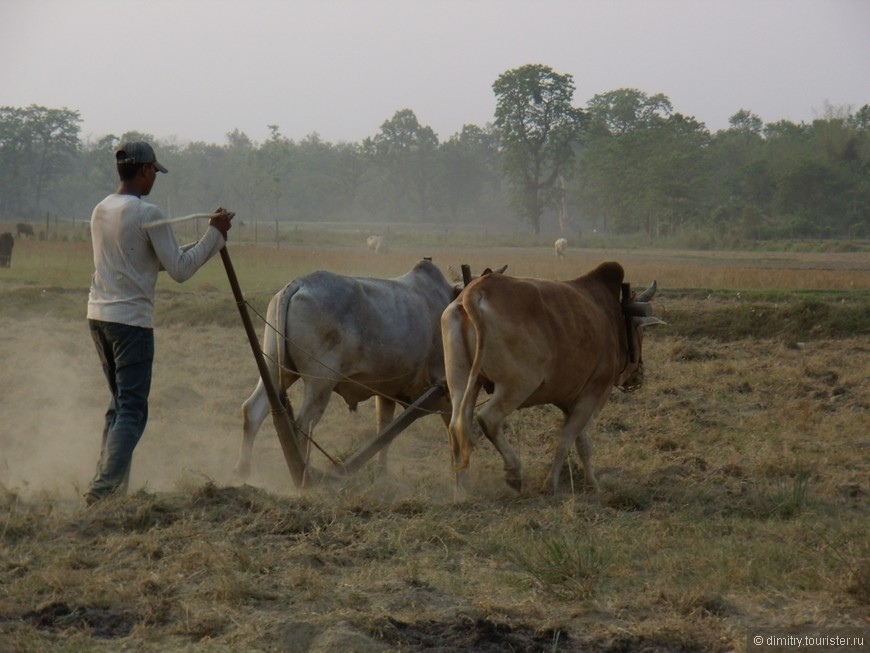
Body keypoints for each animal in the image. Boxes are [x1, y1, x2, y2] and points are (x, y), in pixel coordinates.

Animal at [238, 258, 456, 476]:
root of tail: (300, 283)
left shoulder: (387, 392)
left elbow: (385, 432)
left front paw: (382, 472)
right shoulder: (444, 389)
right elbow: (454, 431)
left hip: (274, 367)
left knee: (253, 411)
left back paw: (244, 471)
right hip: (320, 384)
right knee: (303, 426)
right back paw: (303, 474)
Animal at [442, 260, 668, 494]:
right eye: (640, 331)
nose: (638, 375)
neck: (613, 316)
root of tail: (476, 291)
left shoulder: (572, 401)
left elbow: (581, 442)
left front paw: (590, 482)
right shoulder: (594, 392)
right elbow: (568, 440)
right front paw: (553, 483)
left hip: (462, 383)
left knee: (457, 427)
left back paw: (462, 490)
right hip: (517, 385)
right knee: (488, 419)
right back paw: (514, 472)